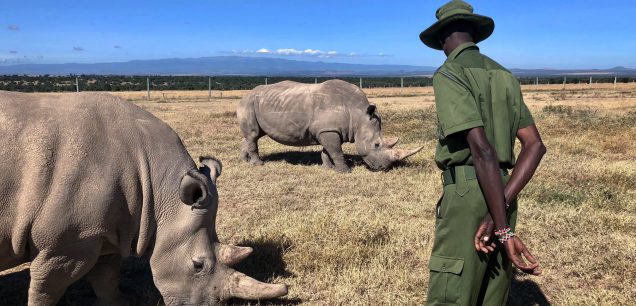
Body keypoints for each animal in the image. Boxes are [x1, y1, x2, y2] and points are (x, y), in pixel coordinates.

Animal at [0, 91, 288, 306]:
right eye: (198, 265)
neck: (160, 190)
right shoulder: (63, 244)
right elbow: (46, 290)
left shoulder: (100, 231)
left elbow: (106, 279)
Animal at [237, 79, 422, 172]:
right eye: (376, 145)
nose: (383, 168)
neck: (358, 114)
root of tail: (245, 95)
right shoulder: (329, 130)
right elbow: (336, 151)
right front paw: (345, 171)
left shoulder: (328, 130)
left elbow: (327, 151)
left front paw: (328, 168)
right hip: (248, 103)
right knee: (253, 135)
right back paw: (258, 165)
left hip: (258, 104)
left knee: (253, 135)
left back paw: (244, 161)